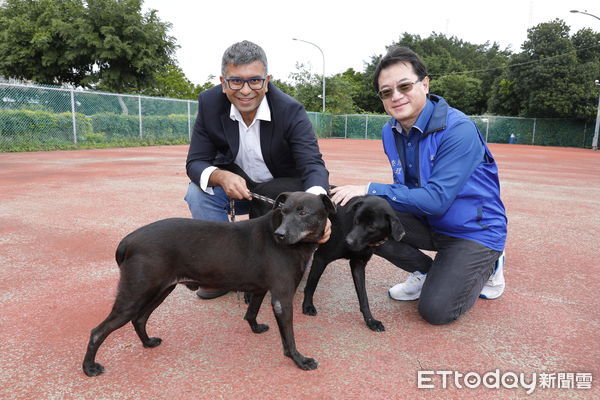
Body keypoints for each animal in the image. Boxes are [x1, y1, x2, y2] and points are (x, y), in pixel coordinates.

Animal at [83, 192, 338, 376]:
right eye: (283, 212)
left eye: (303, 212)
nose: (280, 235)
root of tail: (127, 241)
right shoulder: (282, 298)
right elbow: (289, 338)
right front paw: (299, 360)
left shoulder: (261, 290)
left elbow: (251, 312)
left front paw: (255, 328)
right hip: (135, 294)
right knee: (98, 332)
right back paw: (89, 368)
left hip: (161, 289)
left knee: (140, 319)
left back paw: (148, 342)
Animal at [226, 165, 408, 332]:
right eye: (356, 220)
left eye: (372, 227)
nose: (348, 242)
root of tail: (259, 186)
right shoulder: (321, 258)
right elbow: (311, 285)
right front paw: (307, 306)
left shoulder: (358, 264)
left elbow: (363, 297)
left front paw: (371, 321)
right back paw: (248, 294)